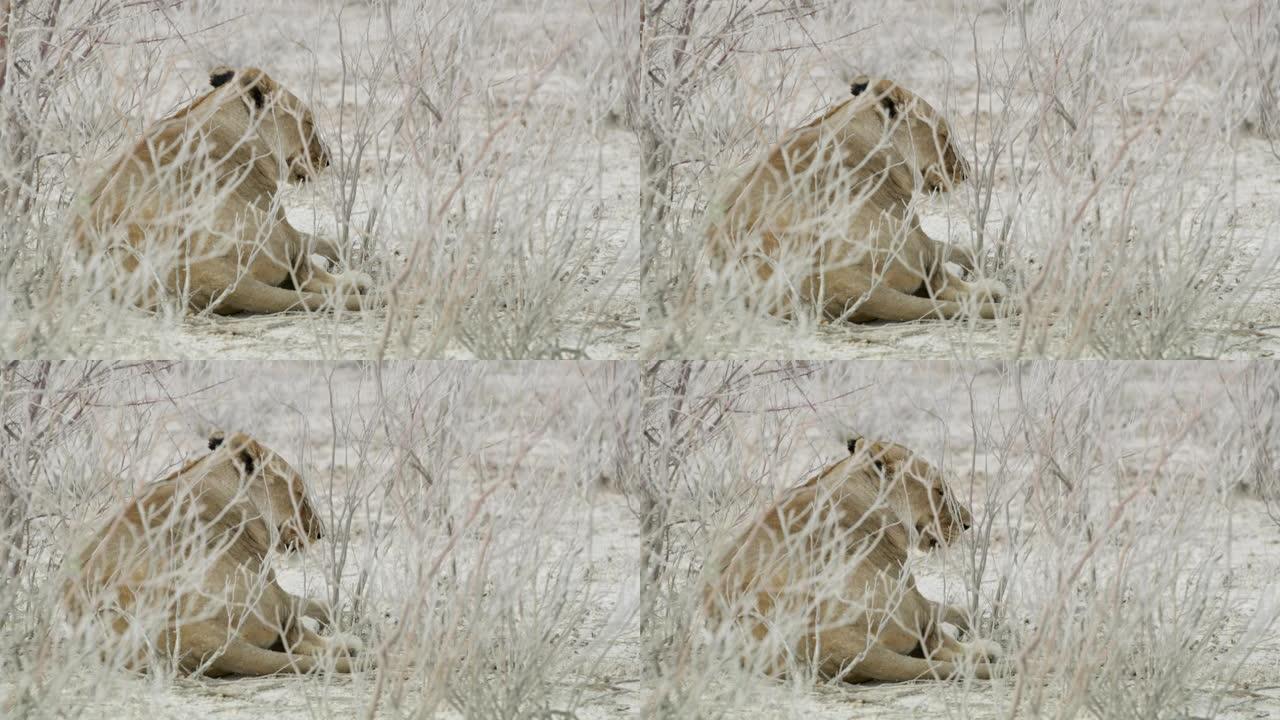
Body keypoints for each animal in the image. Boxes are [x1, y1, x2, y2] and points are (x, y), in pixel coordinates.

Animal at [66, 430, 366, 671]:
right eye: (300, 492)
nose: (320, 532)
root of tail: (196, 636)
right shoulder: (267, 576)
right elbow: (310, 605)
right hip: (263, 592)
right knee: (300, 636)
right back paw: (349, 644)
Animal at [73, 67, 373, 313]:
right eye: (308, 122)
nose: (327, 159)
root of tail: (196, 271)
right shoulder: (275, 213)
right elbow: (316, 243)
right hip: (264, 225)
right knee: (308, 277)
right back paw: (359, 281)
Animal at [706, 438, 1003, 676]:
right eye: (939, 490)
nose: (967, 523)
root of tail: (825, 640)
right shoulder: (905, 580)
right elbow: (944, 611)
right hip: (900, 596)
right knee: (939, 644)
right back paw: (986, 649)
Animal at [711, 75, 1008, 319]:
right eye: (943, 134)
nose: (966, 171)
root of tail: (838, 280)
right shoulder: (909, 220)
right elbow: (953, 250)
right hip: (905, 235)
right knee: (944, 285)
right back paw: (992, 289)